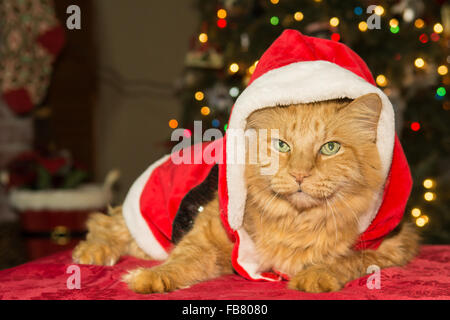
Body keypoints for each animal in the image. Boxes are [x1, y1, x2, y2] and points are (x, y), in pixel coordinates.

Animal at [72, 92, 420, 292]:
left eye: (330, 148)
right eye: (282, 145)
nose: (300, 174)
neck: (296, 221)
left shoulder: (391, 246)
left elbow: (346, 260)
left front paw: (315, 276)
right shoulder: (208, 236)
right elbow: (180, 262)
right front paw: (149, 279)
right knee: (102, 225)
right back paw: (92, 253)